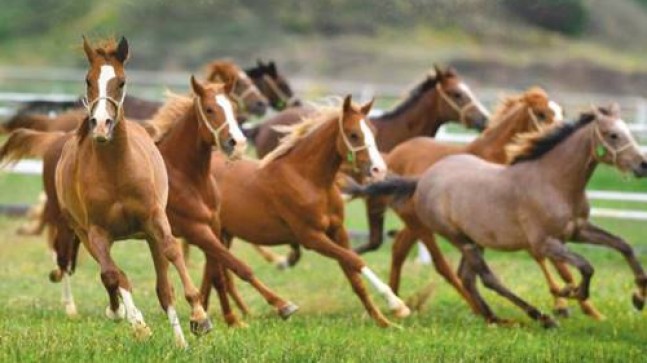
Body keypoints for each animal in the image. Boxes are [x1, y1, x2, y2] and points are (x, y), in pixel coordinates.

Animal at [210, 95, 412, 328]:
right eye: (353, 134)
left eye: (373, 131)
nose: (379, 170)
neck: (307, 179)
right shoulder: (311, 237)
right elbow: (356, 260)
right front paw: (397, 305)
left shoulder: (338, 231)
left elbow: (354, 278)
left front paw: (383, 321)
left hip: (223, 234)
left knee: (217, 274)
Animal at [350, 104, 647, 328]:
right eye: (612, 135)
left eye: (626, 131)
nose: (642, 164)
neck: (553, 181)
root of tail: (422, 179)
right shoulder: (545, 243)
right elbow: (586, 266)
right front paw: (571, 293)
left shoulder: (579, 230)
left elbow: (623, 245)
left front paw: (639, 296)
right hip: (458, 238)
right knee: (486, 278)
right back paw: (539, 317)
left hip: (474, 239)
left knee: (468, 277)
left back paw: (494, 318)